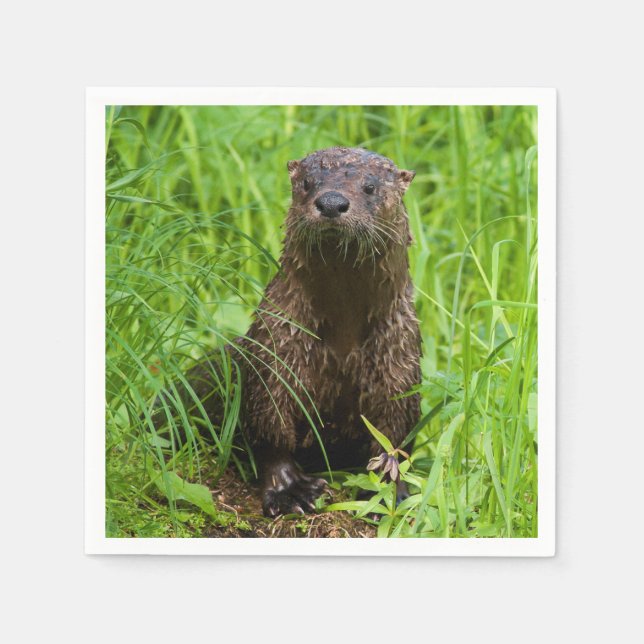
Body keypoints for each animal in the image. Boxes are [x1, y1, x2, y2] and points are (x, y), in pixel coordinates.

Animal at [236, 146, 422, 517]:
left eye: (369, 187)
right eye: (308, 183)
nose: (332, 202)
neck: (342, 342)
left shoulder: (400, 361)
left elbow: (394, 438)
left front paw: (389, 495)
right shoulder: (275, 350)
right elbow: (269, 429)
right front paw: (290, 490)